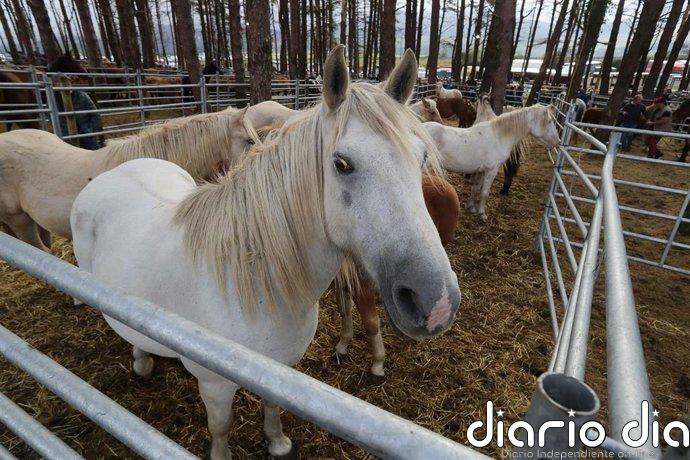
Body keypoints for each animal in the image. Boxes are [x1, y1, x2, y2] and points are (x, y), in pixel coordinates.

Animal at [333, 174, 460, 377]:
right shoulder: (339, 282)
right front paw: (343, 345)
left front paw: (378, 364)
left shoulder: (362, 284)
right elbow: (344, 308)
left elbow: (371, 322)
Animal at [424, 104, 560, 221]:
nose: (557, 142)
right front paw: (482, 214)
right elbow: (485, 192)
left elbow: (475, 188)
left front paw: (471, 207)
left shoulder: (481, 171)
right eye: (549, 121)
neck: (499, 136)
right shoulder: (492, 170)